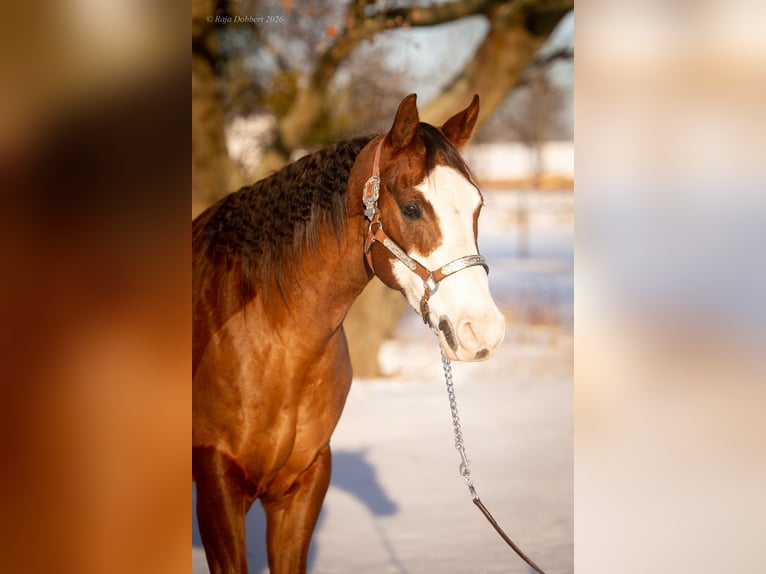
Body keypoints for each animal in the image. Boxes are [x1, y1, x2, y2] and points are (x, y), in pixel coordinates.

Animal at [192, 93, 505, 573]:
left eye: (478, 207)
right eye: (411, 208)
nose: (482, 331)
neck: (276, 348)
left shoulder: (305, 483)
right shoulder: (216, 483)